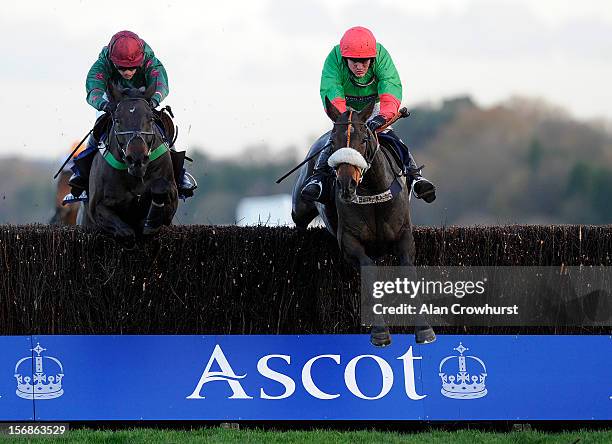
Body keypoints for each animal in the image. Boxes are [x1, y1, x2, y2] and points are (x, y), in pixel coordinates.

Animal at [80, 85, 178, 245]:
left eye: (151, 118)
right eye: (117, 120)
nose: (137, 158)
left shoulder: (172, 198)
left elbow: (161, 191)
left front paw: (150, 222)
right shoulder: (96, 207)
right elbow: (125, 231)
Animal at [292, 99, 432, 346]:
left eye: (364, 139)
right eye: (333, 143)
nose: (346, 184)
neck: (372, 192)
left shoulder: (404, 237)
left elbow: (408, 273)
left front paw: (424, 329)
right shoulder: (349, 243)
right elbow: (369, 271)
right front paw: (379, 331)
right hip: (300, 208)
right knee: (299, 223)